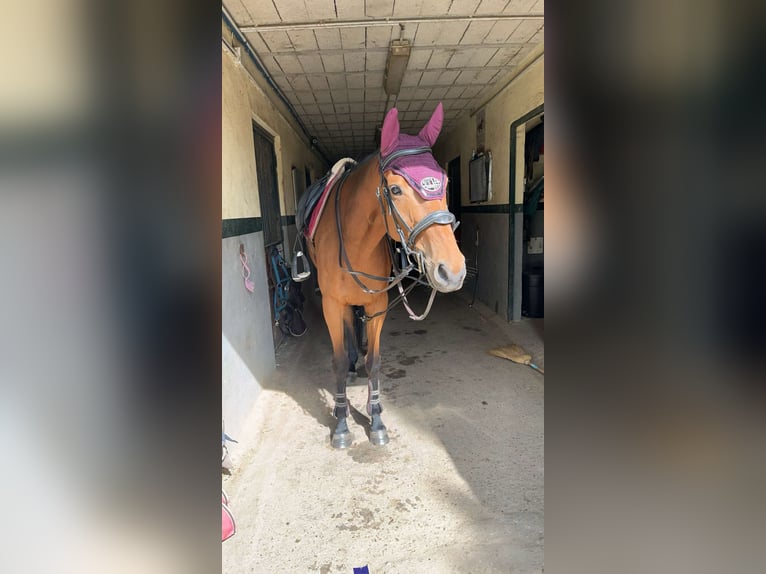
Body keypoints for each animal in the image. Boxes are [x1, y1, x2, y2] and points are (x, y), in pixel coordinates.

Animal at [308, 103, 468, 450]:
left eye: (446, 182)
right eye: (395, 189)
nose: (452, 270)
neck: (354, 239)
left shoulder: (377, 304)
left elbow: (375, 362)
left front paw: (376, 418)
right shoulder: (331, 304)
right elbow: (337, 360)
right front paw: (341, 424)